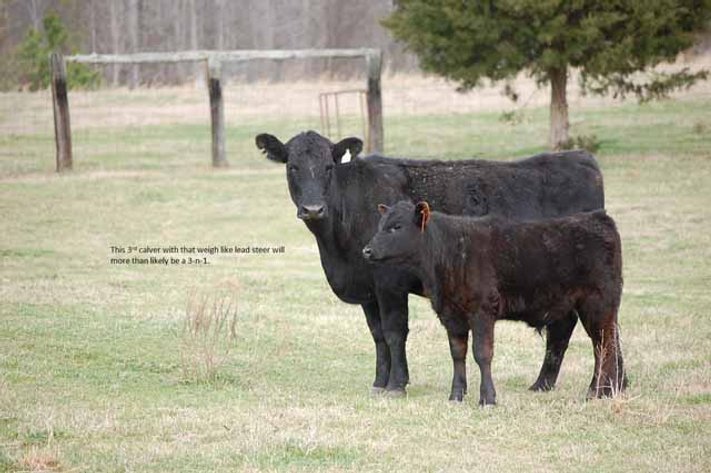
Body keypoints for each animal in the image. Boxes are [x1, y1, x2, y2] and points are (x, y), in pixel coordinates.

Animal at [255, 130, 604, 397]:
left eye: (329, 167)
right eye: (292, 167)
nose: (313, 209)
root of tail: (577, 158)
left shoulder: (390, 281)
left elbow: (394, 331)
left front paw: (396, 385)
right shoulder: (368, 288)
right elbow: (377, 334)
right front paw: (379, 382)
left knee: (571, 327)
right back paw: (543, 384)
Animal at [363, 201, 627, 404]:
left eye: (397, 227)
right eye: (380, 225)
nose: (366, 250)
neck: (451, 252)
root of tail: (597, 217)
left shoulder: (482, 311)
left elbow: (482, 353)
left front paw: (487, 398)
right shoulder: (451, 315)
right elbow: (457, 354)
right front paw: (456, 395)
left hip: (598, 302)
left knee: (605, 345)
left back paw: (596, 392)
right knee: (598, 344)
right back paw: (601, 390)